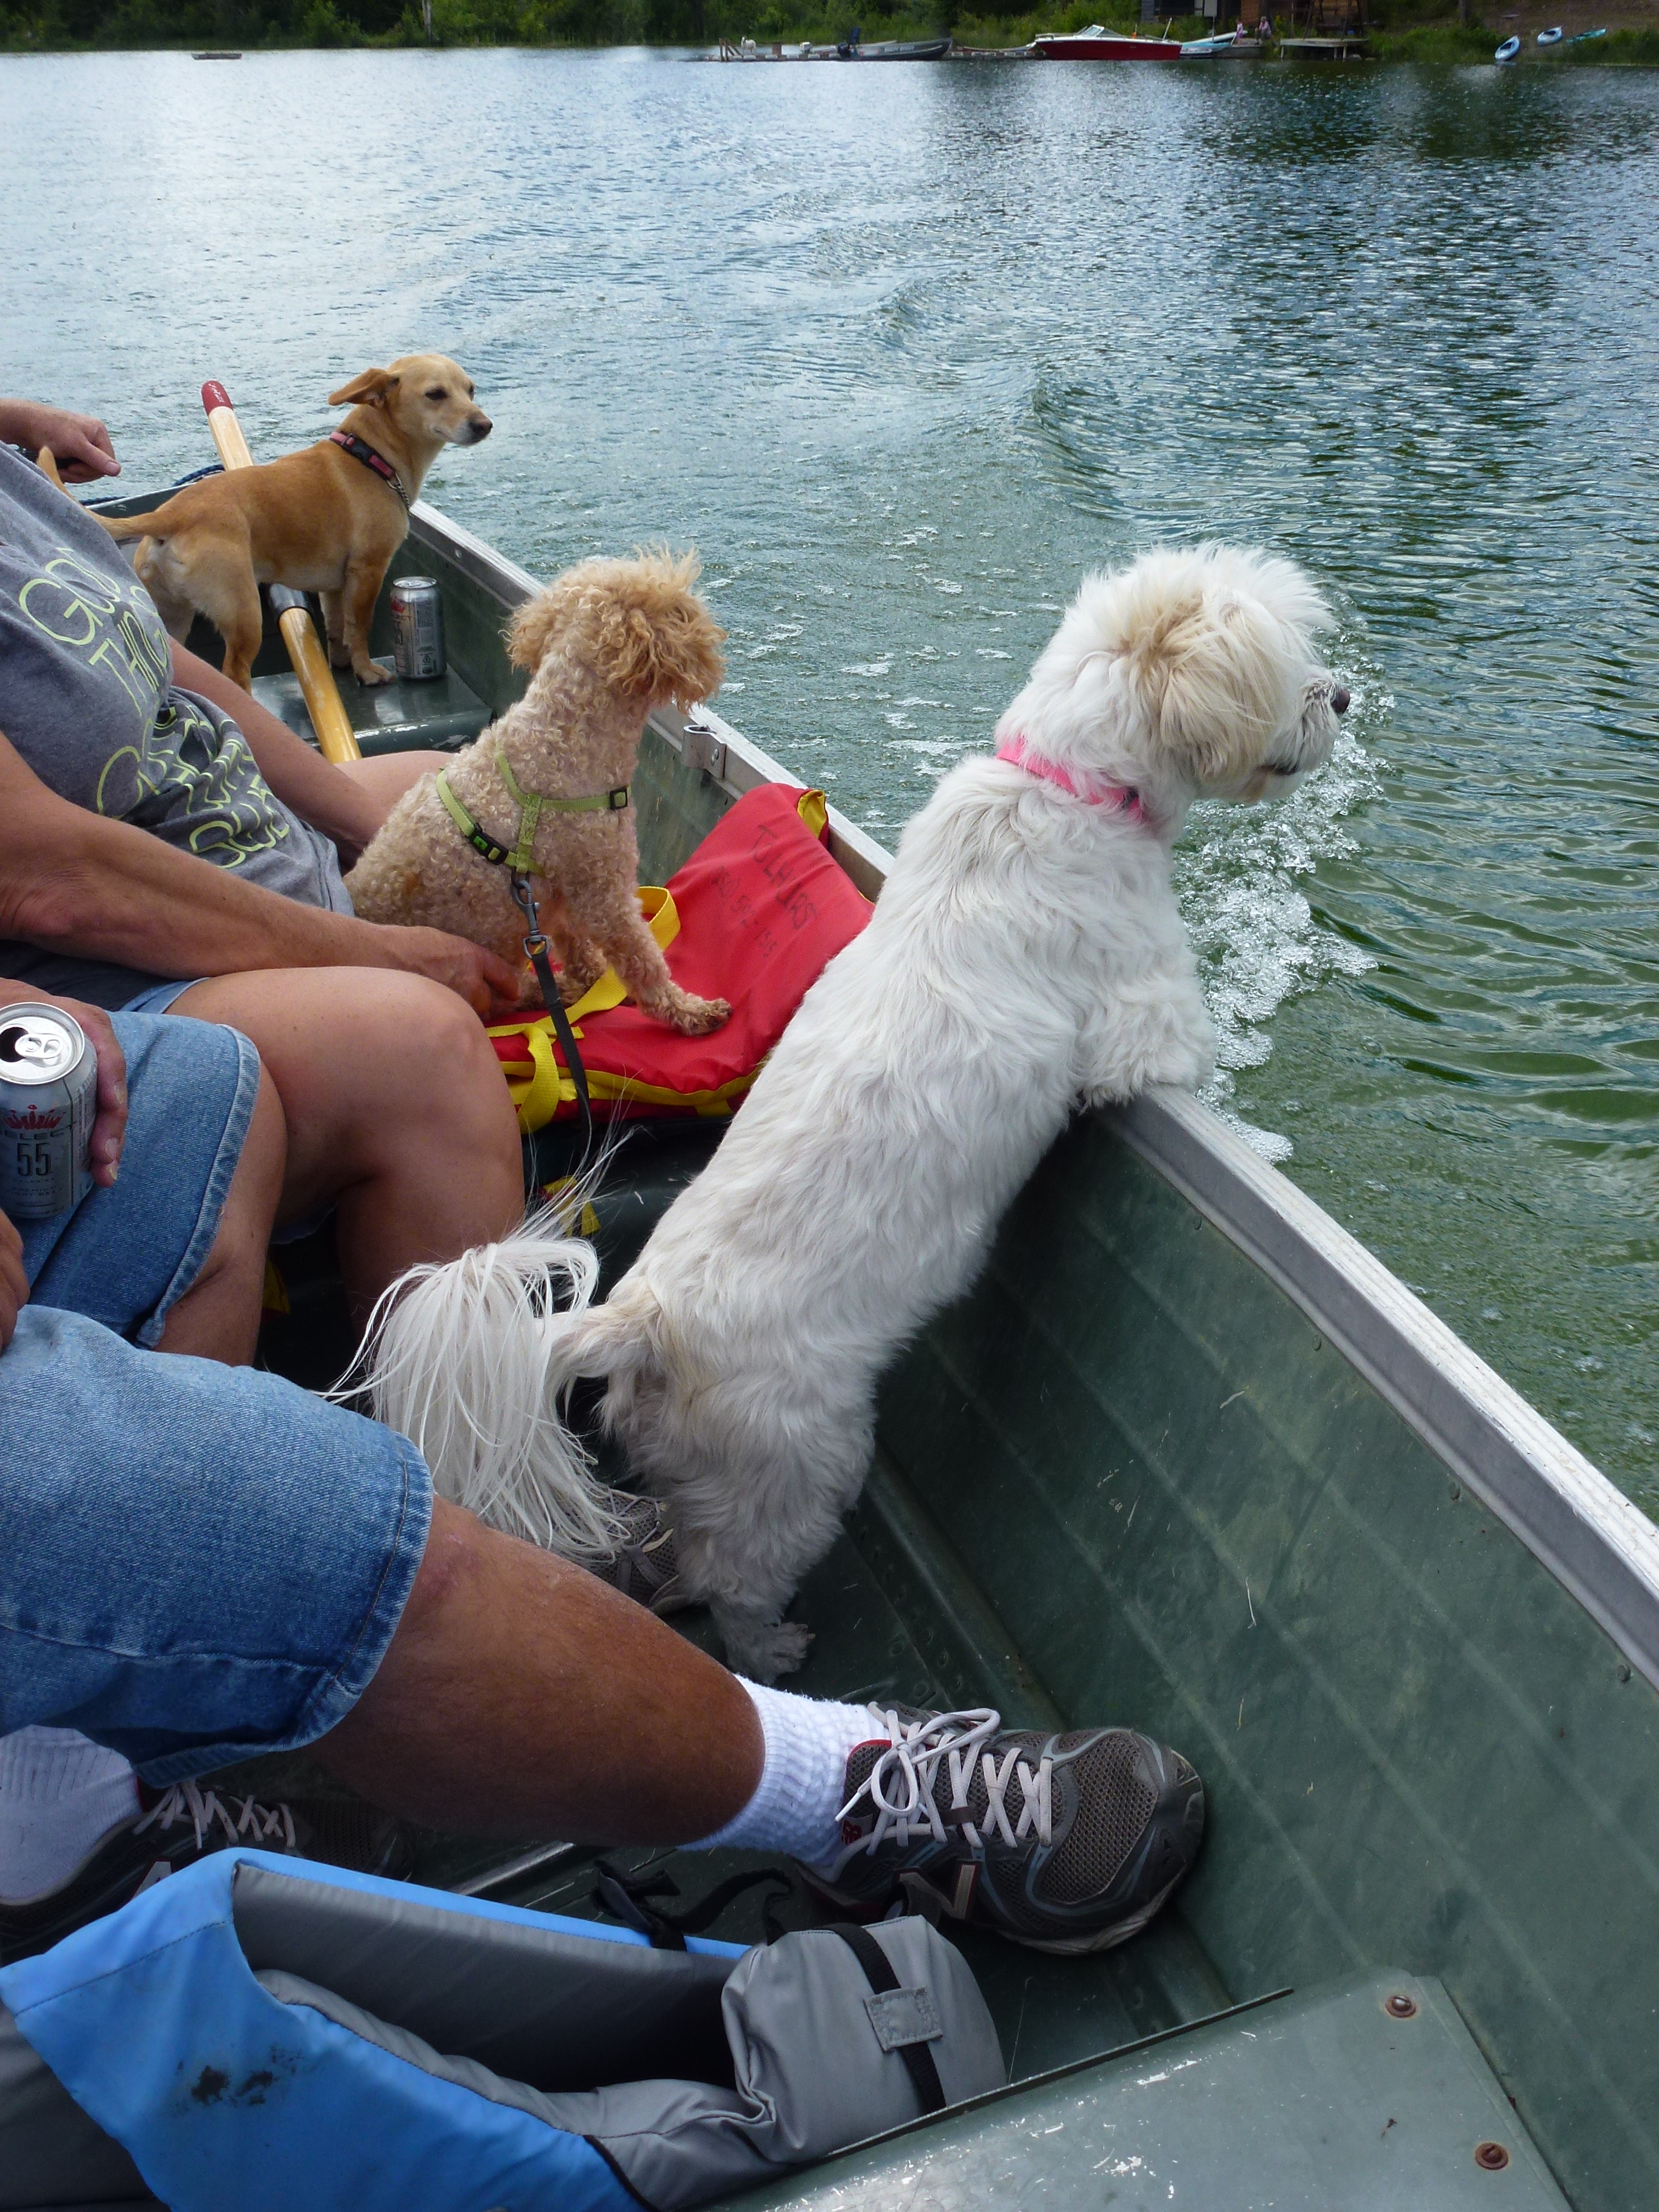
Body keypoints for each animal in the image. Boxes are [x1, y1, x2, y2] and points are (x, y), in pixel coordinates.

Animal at [99, 354, 491, 691]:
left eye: (471, 390)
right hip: (244, 617)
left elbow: (337, 630)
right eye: (436, 394)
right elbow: (359, 628)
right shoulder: (368, 570)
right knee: (235, 675)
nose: (485, 425)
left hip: (173, 620)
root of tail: (168, 515)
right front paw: (367, 671)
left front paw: (343, 665)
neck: (371, 456)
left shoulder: (334, 586)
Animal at [347, 549, 730, 1029]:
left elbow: (575, 944)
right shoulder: (603, 891)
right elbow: (643, 962)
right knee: (504, 997)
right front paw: (687, 1011)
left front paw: (594, 980)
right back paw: (546, 991)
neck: (560, 737)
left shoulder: (557, 893)